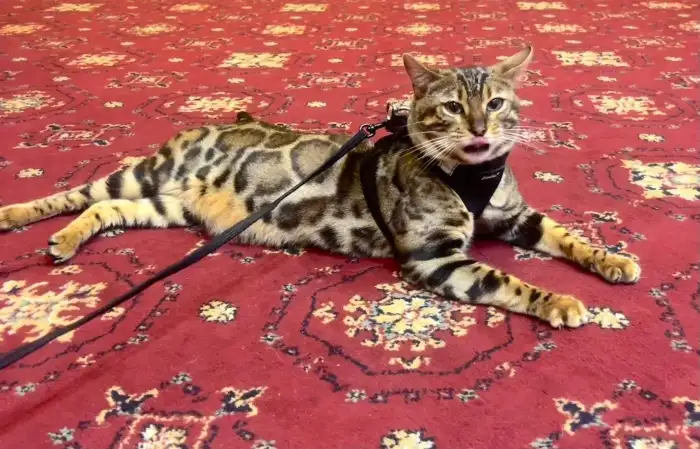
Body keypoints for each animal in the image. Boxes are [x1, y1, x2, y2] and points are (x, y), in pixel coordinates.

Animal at [0, 46, 641, 328]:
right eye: (453, 108)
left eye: (498, 103)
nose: (481, 129)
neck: (471, 176)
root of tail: (213, 121)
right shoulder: (434, 258)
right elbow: (507, 281)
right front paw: (558, 300)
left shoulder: (514, 217)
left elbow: (570, 237)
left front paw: (611, 261)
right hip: (149, 174)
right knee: (82, 194)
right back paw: (18, 215)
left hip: (164, 206)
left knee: (107, 208)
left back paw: (65, 240)